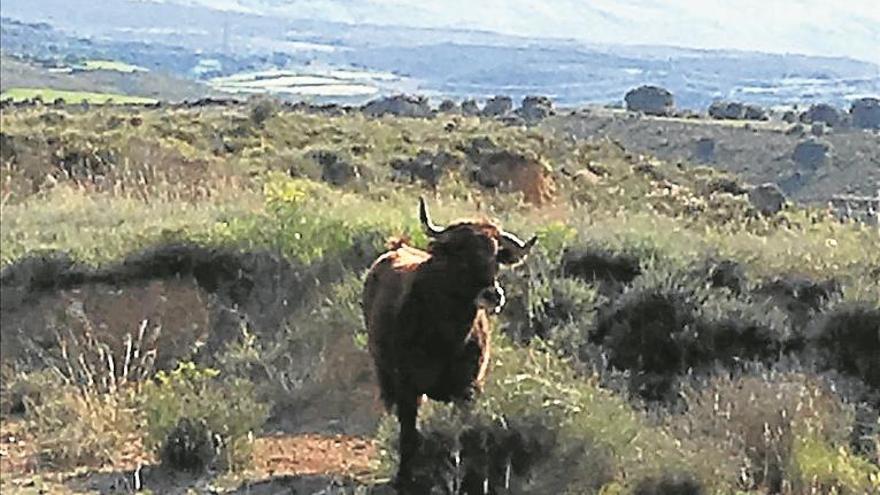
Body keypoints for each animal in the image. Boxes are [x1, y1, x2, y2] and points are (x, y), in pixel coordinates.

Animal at [360, 196, 536, 486]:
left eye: (496, 255)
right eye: (463, 253)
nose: (492, 295)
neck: (448, 338)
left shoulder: (468, 390)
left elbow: (460, 436)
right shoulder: (408, 387)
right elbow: (409, 436)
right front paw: (403, 478)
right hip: (382, 371)